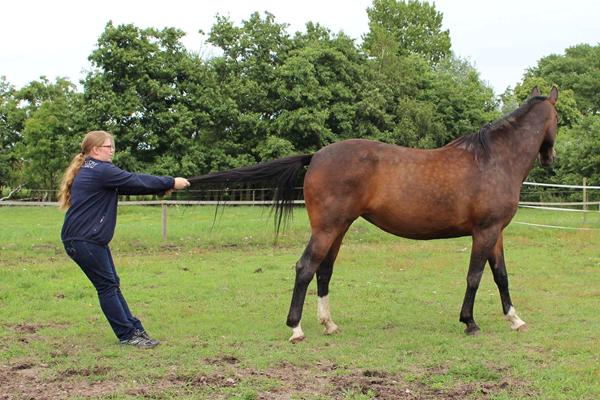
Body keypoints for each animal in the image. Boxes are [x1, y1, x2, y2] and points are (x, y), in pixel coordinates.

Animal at [190, 86, 560, 342]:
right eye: (559, 119)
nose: (551, 159)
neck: (493, 160)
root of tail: (317, 156)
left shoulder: (495, 232)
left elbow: (501, 276)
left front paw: (515, 319)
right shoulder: (484, 231)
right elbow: (475, 276)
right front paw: (469, 322)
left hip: (338, 229)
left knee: (324, 271)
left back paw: (329, 324)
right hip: (327, 229)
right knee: (305, 268)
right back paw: (296, 329)